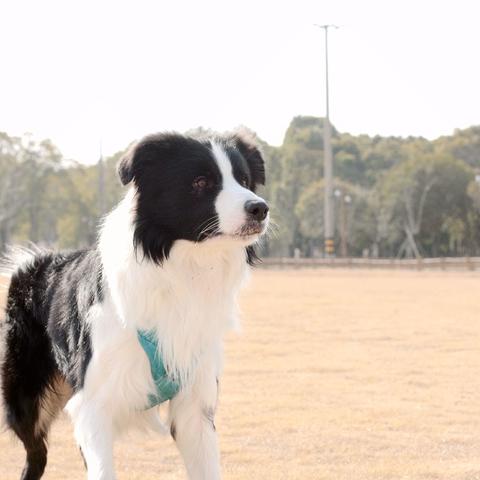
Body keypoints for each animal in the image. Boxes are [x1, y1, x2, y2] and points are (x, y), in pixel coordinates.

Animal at [0, 131, 270, 480]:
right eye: (201, 182)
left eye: (245, 180)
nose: (260, 208)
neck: (182, 270)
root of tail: (34, 262)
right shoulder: (93, 402)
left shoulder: (195, 403)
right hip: (24, 399)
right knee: (36, 455)